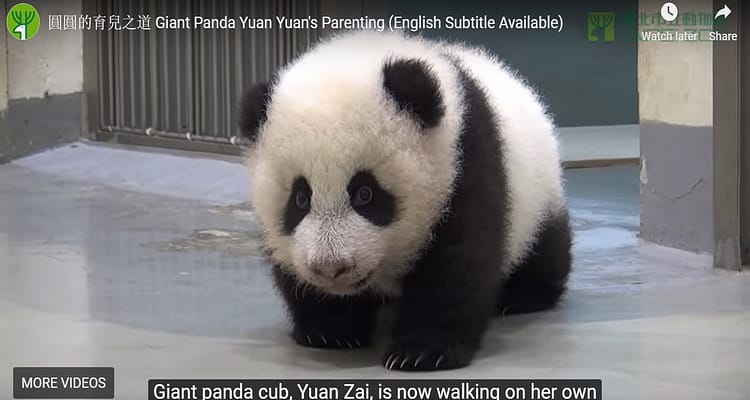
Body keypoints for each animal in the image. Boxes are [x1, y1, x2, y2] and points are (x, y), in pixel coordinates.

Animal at [238, 30, 572, 371]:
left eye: (365, 193)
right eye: (301, 198)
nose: (332, 268)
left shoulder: (464, 161)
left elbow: (457, 259)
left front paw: (422, 351)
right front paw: (332, 330)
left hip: (538, 194)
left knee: (546, 246)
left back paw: (525, 296)